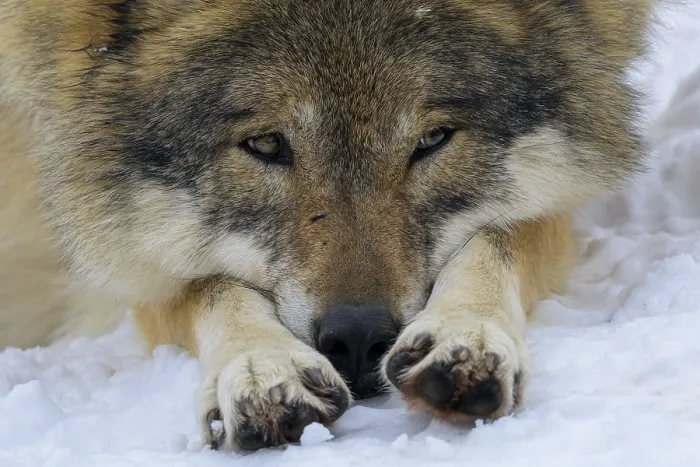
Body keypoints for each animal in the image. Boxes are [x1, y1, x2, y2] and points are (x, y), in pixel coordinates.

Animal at [0, 0, 656, 451]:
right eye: (266, 144)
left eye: (432, 140)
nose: (359, 339)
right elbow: (207, 284)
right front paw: (261, 367)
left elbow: (497, 236)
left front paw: (466, 334)